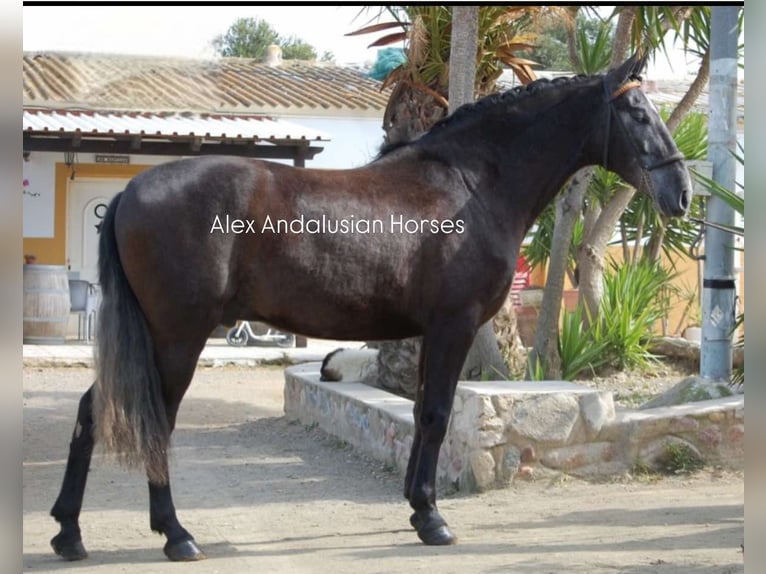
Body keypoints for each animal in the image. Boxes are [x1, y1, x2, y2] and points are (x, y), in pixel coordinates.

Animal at [51, 55, 692, 564]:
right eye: (638, 115)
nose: (681, 193)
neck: (472, 186)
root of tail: (132, 191)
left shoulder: (433, 333)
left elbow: (424, 414)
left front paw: (416, 508)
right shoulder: (454, 326)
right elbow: (434, 416)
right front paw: (433, 520)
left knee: (91, 411)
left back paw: (69, 533)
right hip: (177, 337)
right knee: (152, 420)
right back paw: (176, 535)